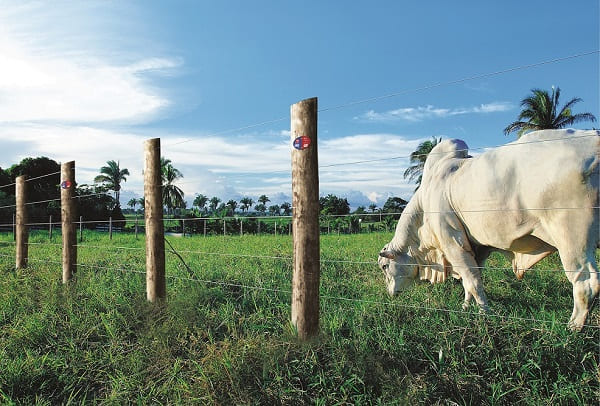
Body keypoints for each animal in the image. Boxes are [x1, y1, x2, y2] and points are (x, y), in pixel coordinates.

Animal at [380, 129, 600, 330]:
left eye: (384, 266)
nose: (390, 293)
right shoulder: (478, 248)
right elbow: (469, 281)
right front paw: (466, 307)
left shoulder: (453, 244)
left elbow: (473, 281)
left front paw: (485, 313)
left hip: (572, 238)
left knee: (586, 282)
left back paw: (573, 328)